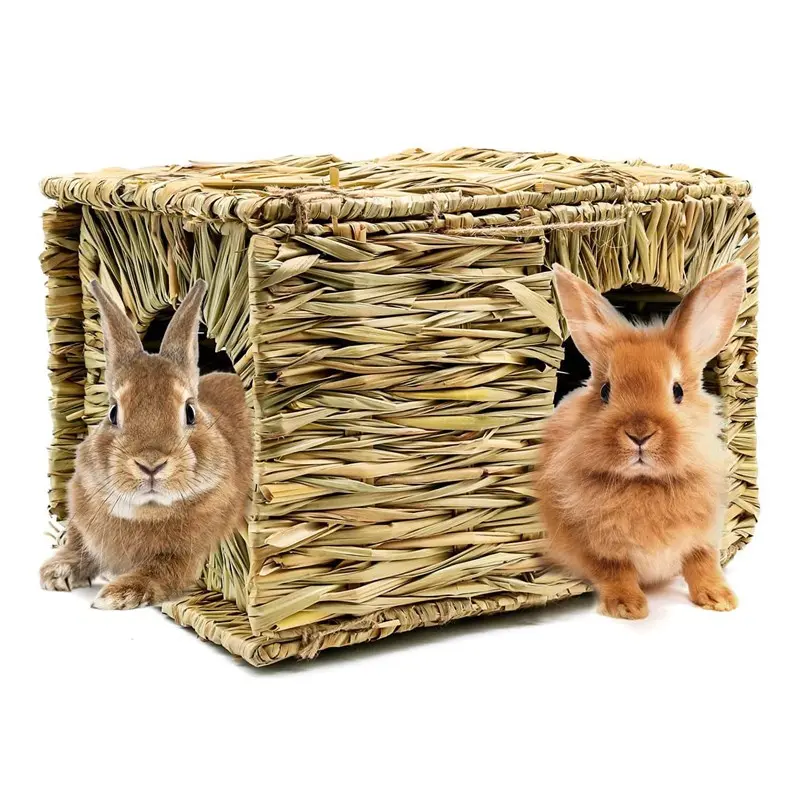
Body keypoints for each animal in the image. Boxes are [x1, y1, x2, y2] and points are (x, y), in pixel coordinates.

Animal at [39, 279, 253, 610]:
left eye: (190, 412)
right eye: (113, 412)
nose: (151, 464)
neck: (146, 511)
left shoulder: (184, 557)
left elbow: (158, 572)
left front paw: (115, 595)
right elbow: (78, 545)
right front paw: (56, 572)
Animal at [537, 262, 747, 620]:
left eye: (677, 391)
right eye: (605, 391)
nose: (639, 434)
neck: (645, 483)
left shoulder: (703, 537)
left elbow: (702, 563)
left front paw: (720, 599)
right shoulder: (594, 547)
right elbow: (614, 570)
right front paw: (628, 607)